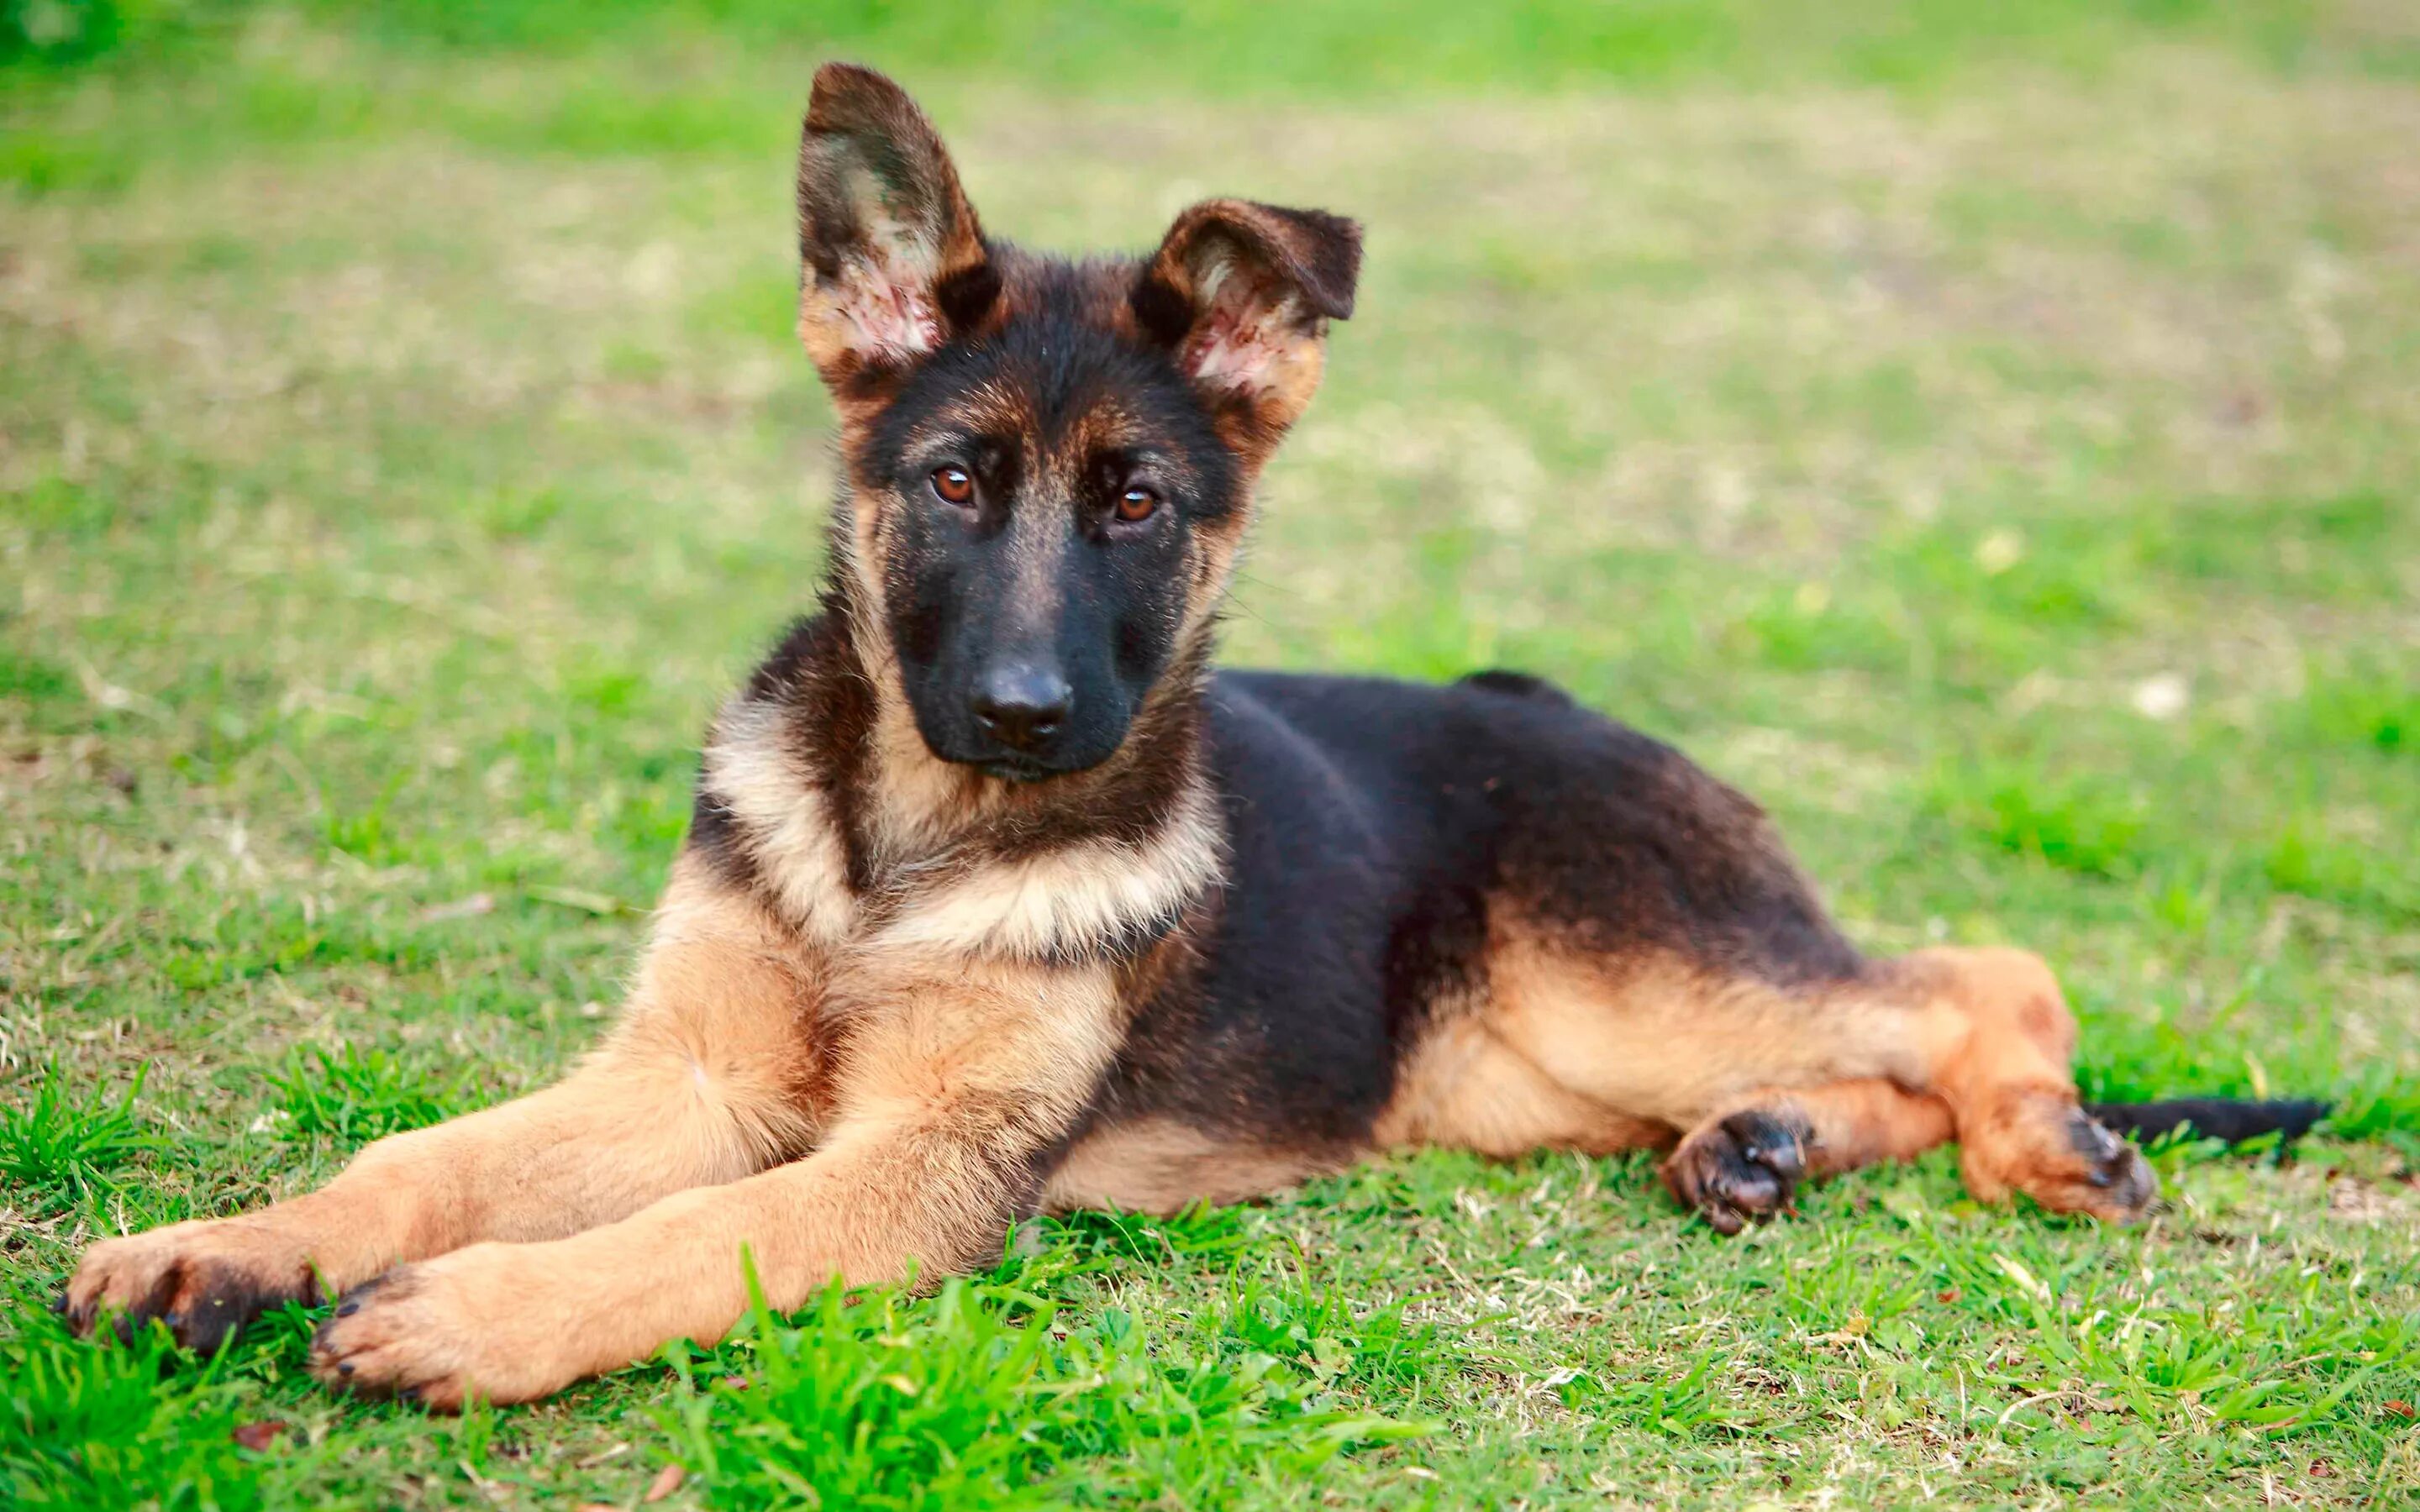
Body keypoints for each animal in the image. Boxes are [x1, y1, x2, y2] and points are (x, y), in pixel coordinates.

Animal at [61, 59, 2323, 1403]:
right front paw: (224, 1251)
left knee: (1979, 975)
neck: (899, 849)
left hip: (1617, 972)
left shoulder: (921, 1168)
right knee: (1845, 1050)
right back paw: (1765, 1144)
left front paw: (486, 1312)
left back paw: (2043, 1141)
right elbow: (427, 1155)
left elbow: (708, 1235)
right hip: (1527, 1074)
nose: (1027, 712)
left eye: (1139, 503)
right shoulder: (687, 1074)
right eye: (956, 480)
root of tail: (1563, 711)